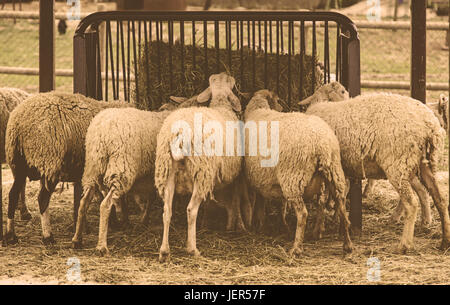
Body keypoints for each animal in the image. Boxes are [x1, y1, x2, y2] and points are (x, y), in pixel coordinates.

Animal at [71, 96, 205, 253]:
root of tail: (101, 132)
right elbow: (153, 199)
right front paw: (144, 219)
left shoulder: (152, 175)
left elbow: (151, 198)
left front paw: (141, 219)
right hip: (121, 167)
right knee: (105, 205)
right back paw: (102, 246)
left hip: (92, 168)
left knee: (83, 203)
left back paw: (77, 239)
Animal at [156, 72, 244, 262]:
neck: (221, 103)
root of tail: (180, 133)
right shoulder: (235, 176)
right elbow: (236, 200)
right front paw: (236, 225)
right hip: (201, 171)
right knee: (191, 210)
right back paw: (192, 249)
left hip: (167, 171)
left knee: (166, 211)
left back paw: (164, 252)